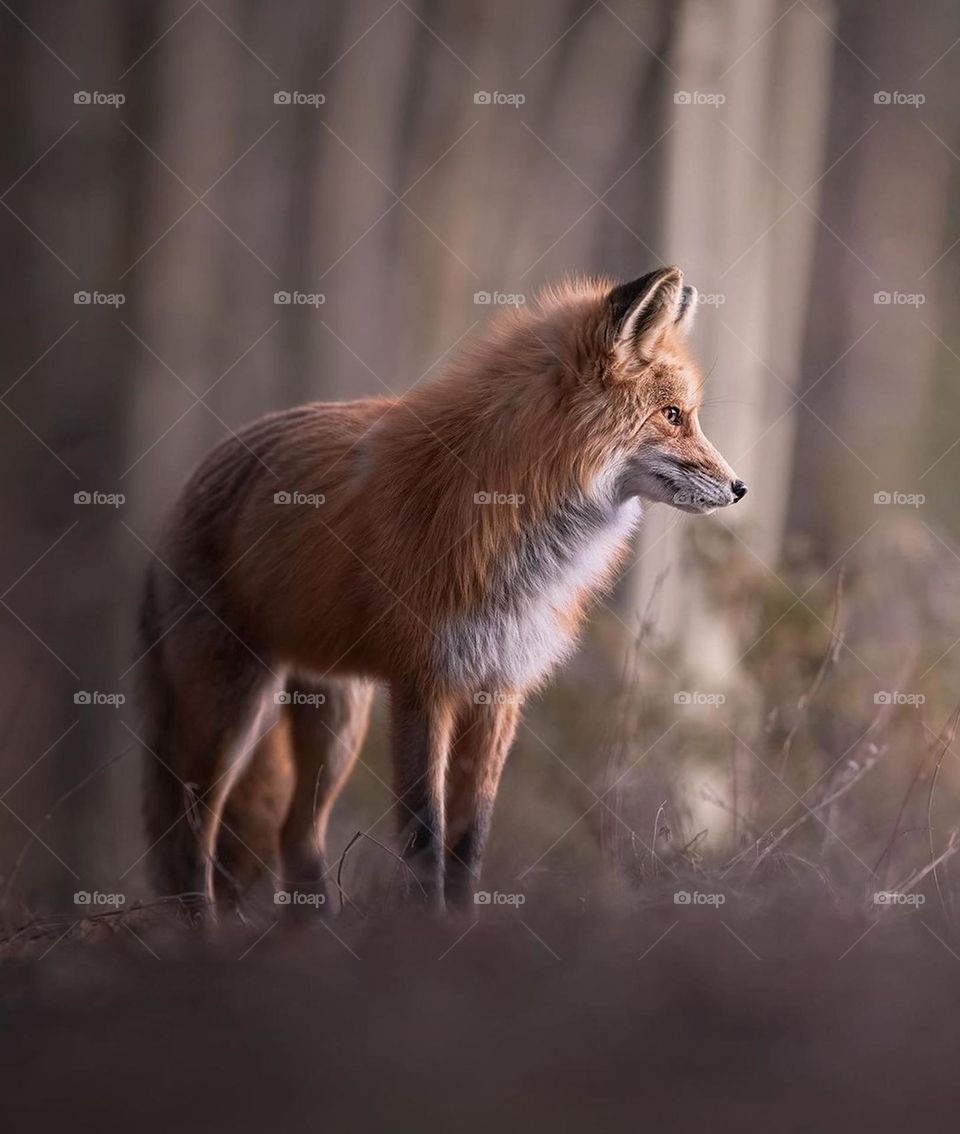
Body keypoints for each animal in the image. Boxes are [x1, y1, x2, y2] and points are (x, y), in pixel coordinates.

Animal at [137, 266, 746, 914]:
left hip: (336, 721)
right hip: (234, 713)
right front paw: (425, 928)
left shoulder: (500, 685)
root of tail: (190, 485)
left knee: (295, 839)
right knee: (189, 838)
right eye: (673, 415)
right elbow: (425, 837)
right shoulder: (422, 682)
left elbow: (468, 841)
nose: (739, 488)